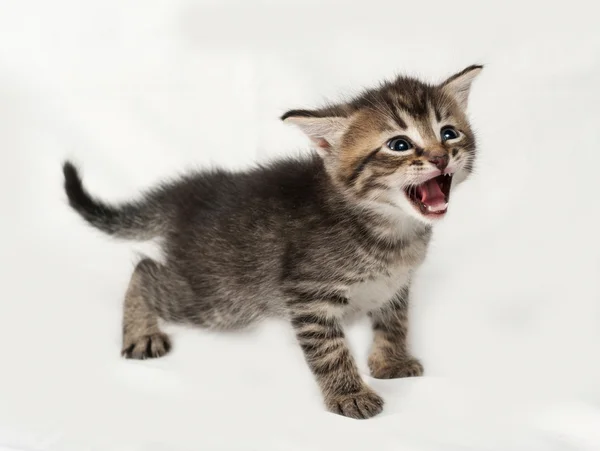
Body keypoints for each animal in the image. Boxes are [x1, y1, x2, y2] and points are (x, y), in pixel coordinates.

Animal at [62, 64, 482, 420]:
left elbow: (394, 322)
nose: (441, 156)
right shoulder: (307, 293)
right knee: (145, 269)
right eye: (399, 145)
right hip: (219, 299)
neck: (390, 230)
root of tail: (188, 194)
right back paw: (141, 333)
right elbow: (330, 350)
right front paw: (349, 394)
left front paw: (390, 362)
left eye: (448, 133)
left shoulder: (396, 284)